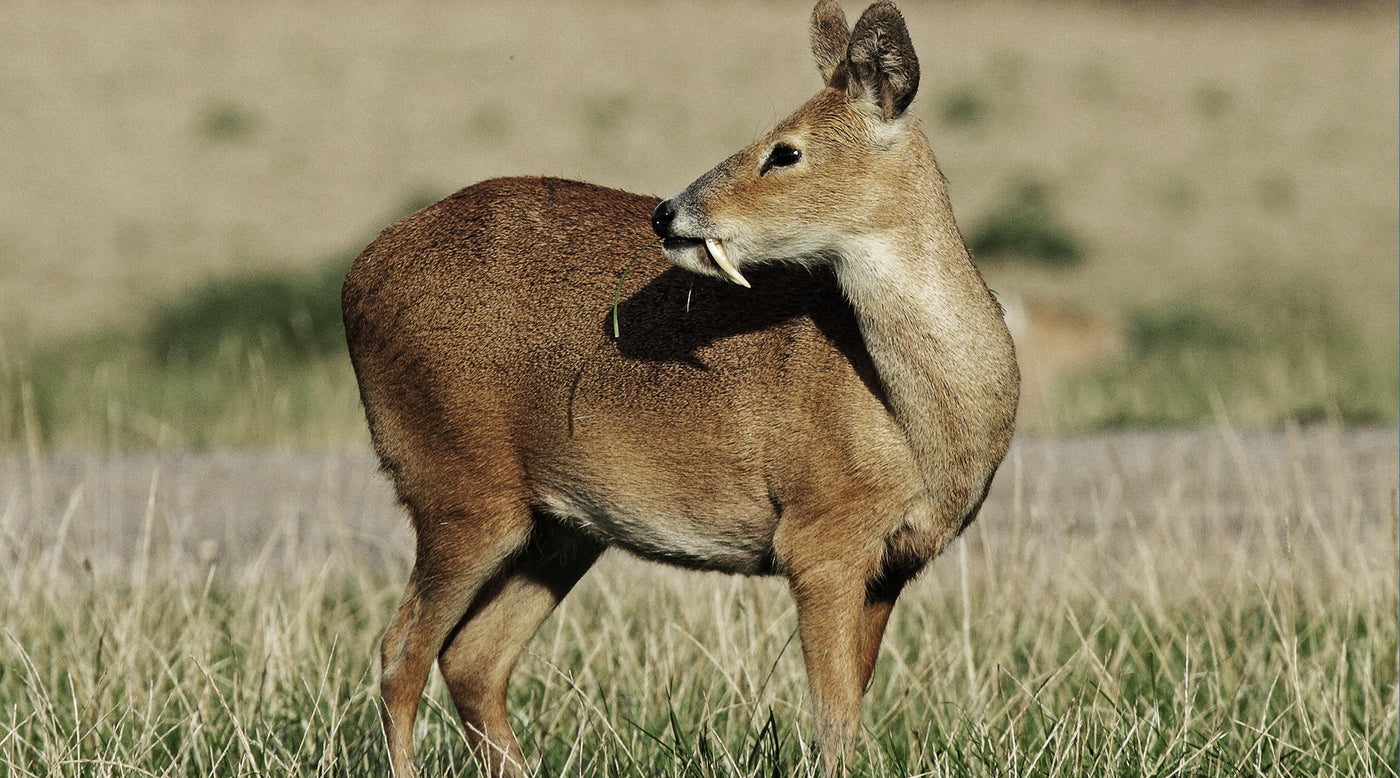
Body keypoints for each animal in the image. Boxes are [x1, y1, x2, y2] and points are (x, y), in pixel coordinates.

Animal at [338, 3, 1019, 772]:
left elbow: (848, 712)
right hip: (456, 486)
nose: (668, 212)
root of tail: (357, 276)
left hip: (558, 528)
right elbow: (834, 721)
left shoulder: (892, 565)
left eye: (786, 152)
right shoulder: (819, 539)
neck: (917, 421)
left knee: (471, 659)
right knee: (400, 652)